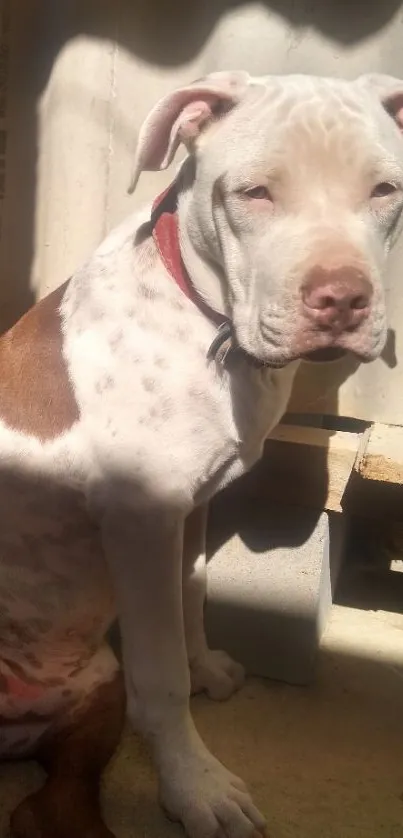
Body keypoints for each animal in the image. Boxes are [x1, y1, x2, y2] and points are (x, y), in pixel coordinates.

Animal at [0, 74, 403, 838]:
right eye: (255, 193)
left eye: (384, 190)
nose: (341, 299)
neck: (208, 324)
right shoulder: (141, 522)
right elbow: (160, 679)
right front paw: (197, 787)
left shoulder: (189, 508)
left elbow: (192, 597)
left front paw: (206, 666)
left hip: (92, 696)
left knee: (56, 799)